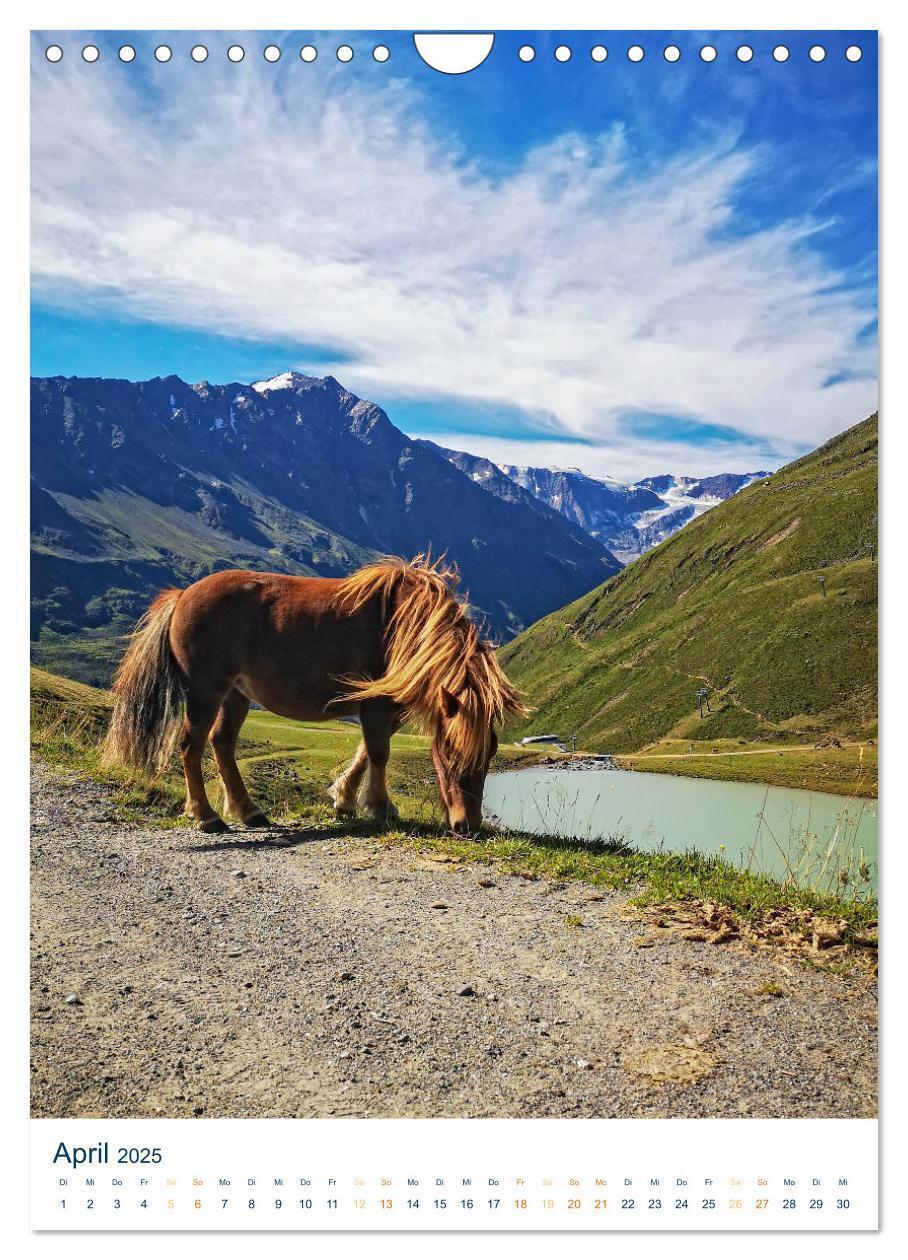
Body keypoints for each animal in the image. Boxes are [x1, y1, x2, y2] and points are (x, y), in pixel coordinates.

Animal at [100, 554, 523, 831]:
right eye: (449, 753)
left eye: (490, 754)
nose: (467, 825)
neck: (402, 625)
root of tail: (183, 595)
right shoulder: (375, 702)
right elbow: (379, 753)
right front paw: (379, 808)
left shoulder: (386, 706)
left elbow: (367, 750)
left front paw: (346, 800)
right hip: (206, 692)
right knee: (192, 744)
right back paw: (207, 816)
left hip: (236, 695)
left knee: (222, 743)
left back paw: (248, 810)